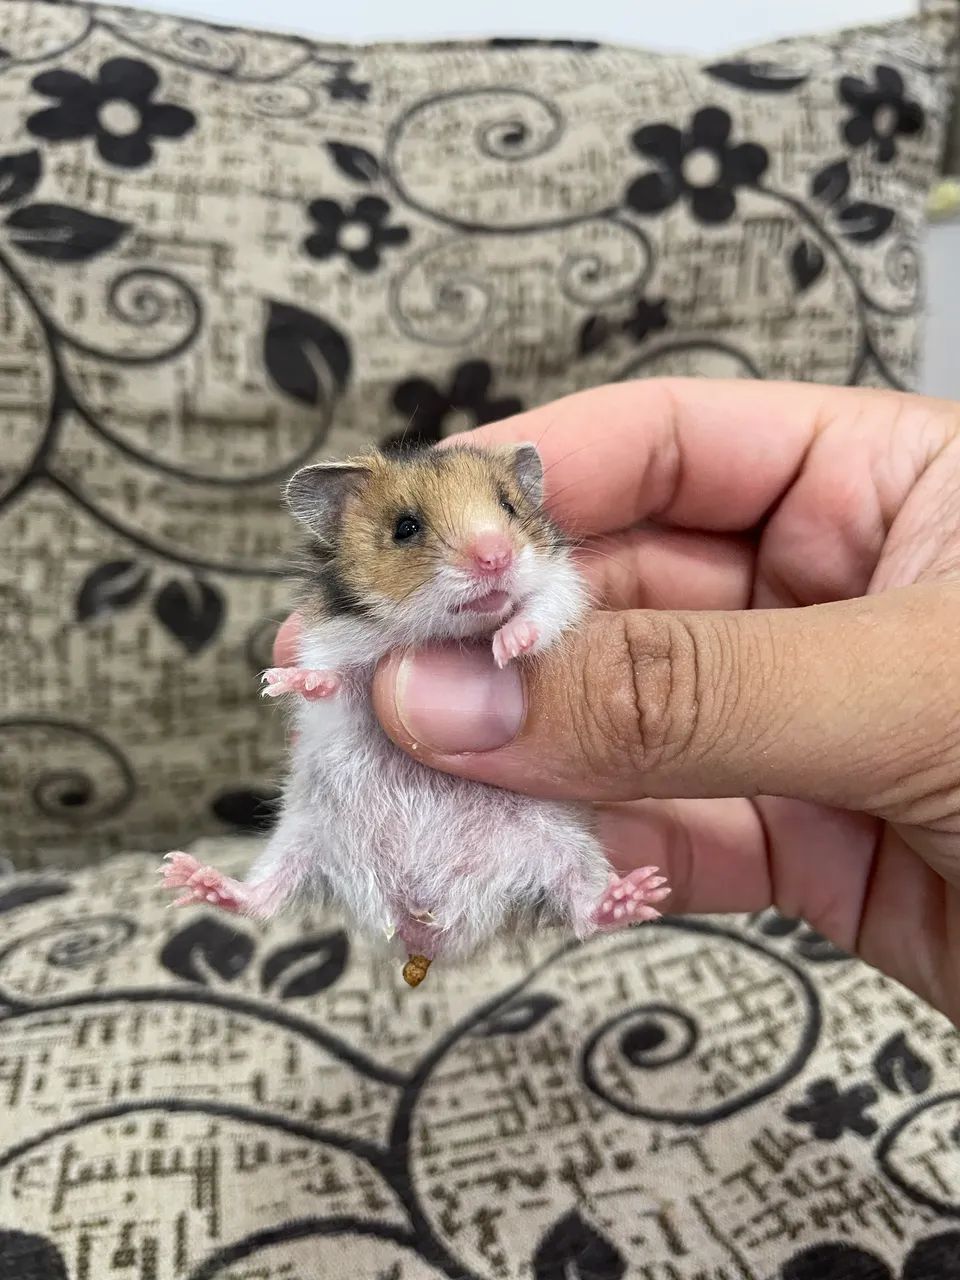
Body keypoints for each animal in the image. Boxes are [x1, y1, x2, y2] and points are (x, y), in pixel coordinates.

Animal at [162, 442, 669, 986]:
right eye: (405, 527)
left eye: (508, 506)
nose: (497, 556)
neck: (442, 633)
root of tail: (423, 931)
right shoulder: (338, 645)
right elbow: (335, 680)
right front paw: (280, 682)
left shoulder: (562, 589)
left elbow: (539, 612)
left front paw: (507, 646)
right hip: (302, 837)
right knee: (259, 899)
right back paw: (187, 876)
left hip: (565, 847)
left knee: (585, 913)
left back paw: (641, 892)